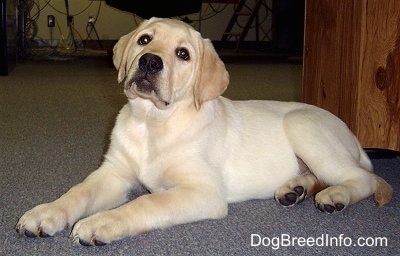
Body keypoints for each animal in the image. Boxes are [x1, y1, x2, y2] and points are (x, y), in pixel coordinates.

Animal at [15, 17, 390, 246]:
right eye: (144, 40)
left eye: (183, 54)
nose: (149, 61)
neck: (152, 122)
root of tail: (354, 139)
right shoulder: (114, 173)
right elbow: (77, 192)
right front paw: (46, 213)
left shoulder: (203, 191)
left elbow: (147, 202)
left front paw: (101, 222)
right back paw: (293, 189)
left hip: (304, 127)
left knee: (364, 179)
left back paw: (334, 196)